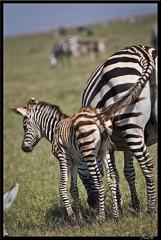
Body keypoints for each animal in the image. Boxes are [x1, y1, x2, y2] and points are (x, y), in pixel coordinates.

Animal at [77, 44, 158, 214]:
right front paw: (134, 204)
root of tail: (144, 54)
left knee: (147, 165)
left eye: (84, 176)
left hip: (130, 122)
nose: (92, 205)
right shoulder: (126, 145)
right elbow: (129, 172)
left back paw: (150, 209)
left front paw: (119, 207)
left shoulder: (109, 144)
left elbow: (114, 174)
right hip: (132, 129)